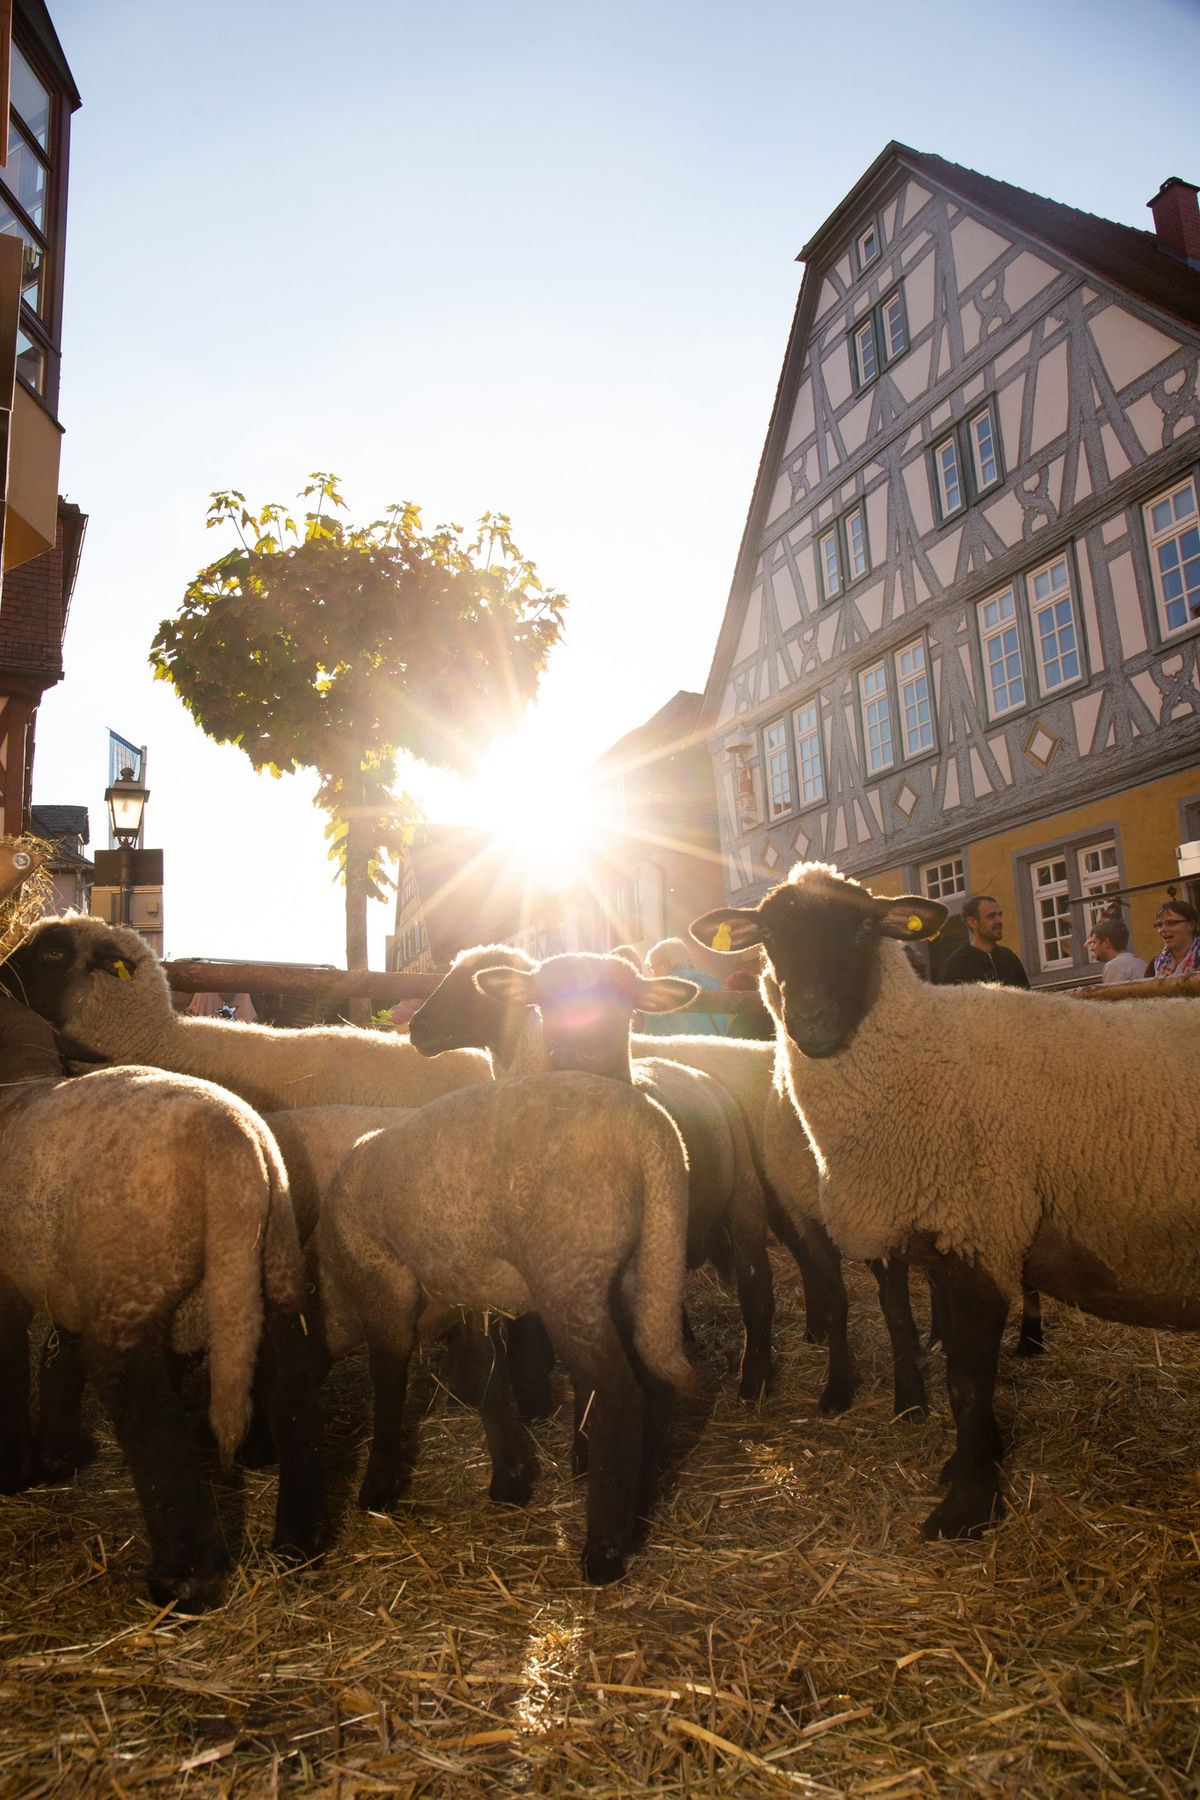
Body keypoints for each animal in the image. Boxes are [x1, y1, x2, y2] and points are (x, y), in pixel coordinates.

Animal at [0, 993, 329, 1612]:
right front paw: (57, 1457)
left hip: (131, 1291)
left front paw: (16, 1471)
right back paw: (300, 1546)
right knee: (296, 1388)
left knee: (150, 1418)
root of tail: (231, 1151)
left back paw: (183, 1581)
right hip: (272, 1273)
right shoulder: (70, 1278)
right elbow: (58, 1354)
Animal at [309, 1072, 694, 1584]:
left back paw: (603, 1553)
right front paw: (509, 1480)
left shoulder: (384, 1289)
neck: (332, 1285)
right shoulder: (469, 1298)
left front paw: (377, 1488)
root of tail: (654, 1134)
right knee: (654, 1381)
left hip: (570, 1275)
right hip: (645, 1266)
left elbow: (388, 1385)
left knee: (619, 1394)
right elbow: (485, 1379)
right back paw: (640, 1510)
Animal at [690, 864, 1200, 1540]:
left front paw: (967, 1505)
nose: (814, 1021)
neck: (917, 1057)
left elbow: (966, 1379)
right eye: (769, 934)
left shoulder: (978, 1227)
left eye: (863, 926)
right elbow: (937, 1345)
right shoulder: (941, 1234)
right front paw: (970, 1461)